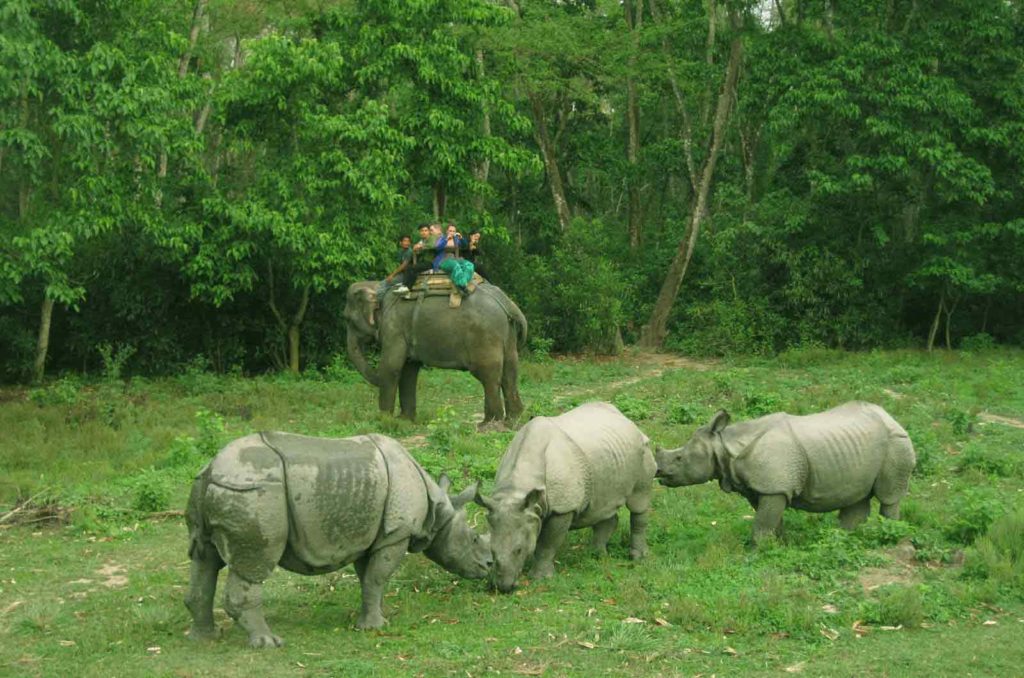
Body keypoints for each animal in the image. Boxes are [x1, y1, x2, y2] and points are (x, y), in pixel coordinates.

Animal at [344, 280, 528, 426]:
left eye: (348, 319)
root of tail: (508, 304)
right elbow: (409, 370)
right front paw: (405, 421)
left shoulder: (394, 327)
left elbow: (391, 367)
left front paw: (384, 421)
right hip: (507, 334)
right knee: (510, 373)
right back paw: (513, 420)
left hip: (484, 336)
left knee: (488, 375)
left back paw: (488, 425)